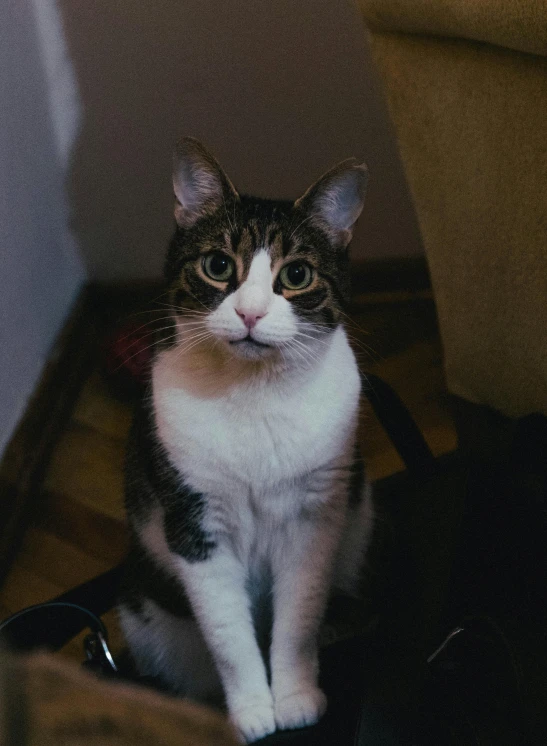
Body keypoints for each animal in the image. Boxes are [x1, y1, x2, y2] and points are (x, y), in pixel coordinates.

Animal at [119, 138, 376, 740]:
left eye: (297, 274)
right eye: (218, 266)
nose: (251, 312)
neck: (254, 391)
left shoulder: (315, 516)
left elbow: (298, 618)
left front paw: (297, 695)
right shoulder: (194, 523)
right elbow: (229, 637)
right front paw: (252, 711)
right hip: (144, 608)